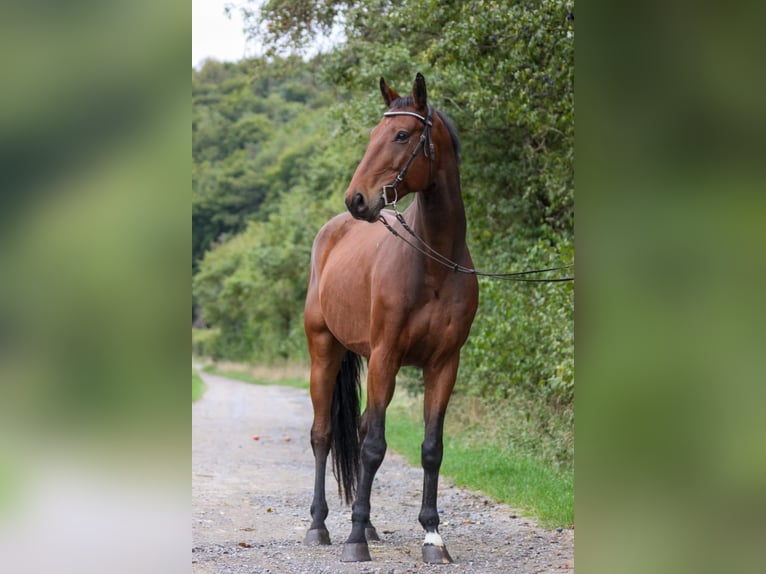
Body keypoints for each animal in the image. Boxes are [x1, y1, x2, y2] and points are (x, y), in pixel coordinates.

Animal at [303, 72, 479, 564]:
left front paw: (433, 536)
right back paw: (321, 526)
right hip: (324, 352)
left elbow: (431, 448)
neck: (435, 262)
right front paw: (354, 541)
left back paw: (367, 523)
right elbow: (373, 446)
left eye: (401, 135)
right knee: (323, 435)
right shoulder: (386, 356)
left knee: (359, 428)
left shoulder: (444, 365)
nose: (357, 199)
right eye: (372, 135)